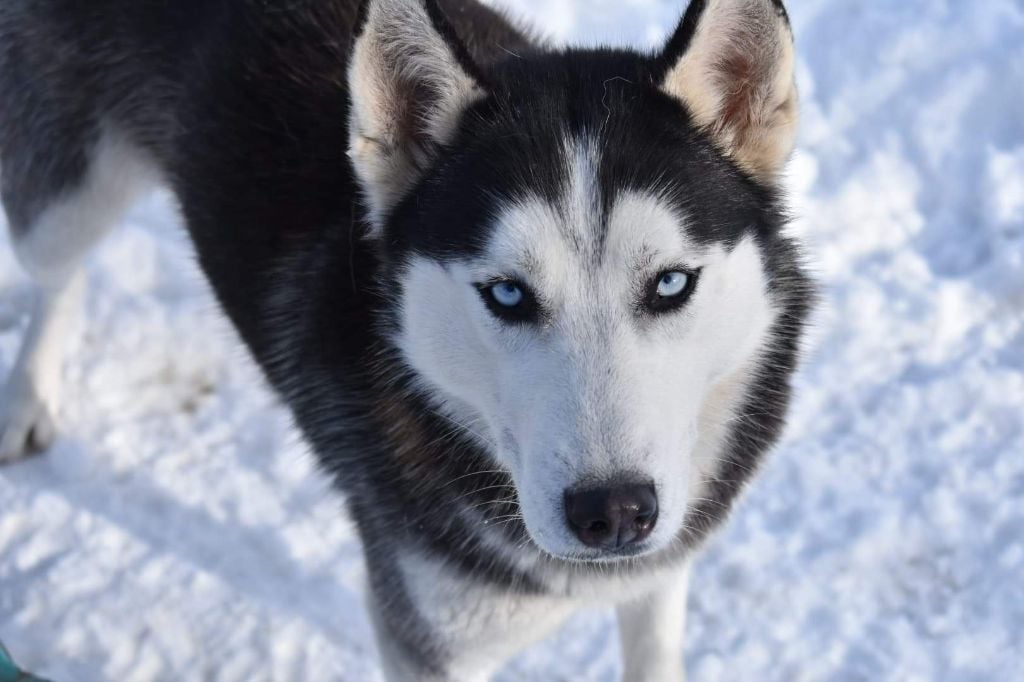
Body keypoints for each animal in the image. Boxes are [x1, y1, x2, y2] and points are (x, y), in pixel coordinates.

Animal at [4, 0, 811, 675]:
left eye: (670, 283)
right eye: (507, 293)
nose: (612, 512)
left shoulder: (661, 575)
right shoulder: (428, 639)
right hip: (65, 204)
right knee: (58, 277)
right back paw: (28, 398)